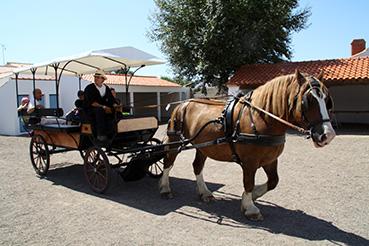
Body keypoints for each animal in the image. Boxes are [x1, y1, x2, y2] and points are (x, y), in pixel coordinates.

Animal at [160, 70, 334, 221]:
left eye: (326, 101)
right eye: (308, 100)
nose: (328, 135)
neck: (261, 118)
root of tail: (183, 104)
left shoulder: (270, 160)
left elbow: (273, 181)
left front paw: (252, 196)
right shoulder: (250, 162)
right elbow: (248, 183)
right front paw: (250, 207)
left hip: (203, 147)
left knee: (197, 166)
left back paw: (205, 192)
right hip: (175, 140)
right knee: (168, 162)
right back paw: (165, 188)